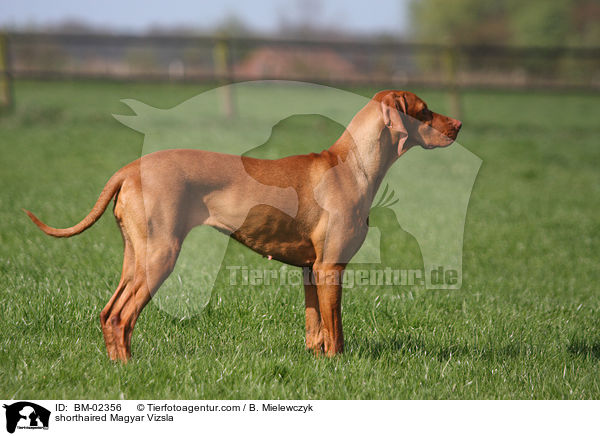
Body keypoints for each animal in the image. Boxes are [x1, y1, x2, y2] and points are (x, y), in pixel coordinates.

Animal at [25, 89, 462, 362]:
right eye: (424, 110)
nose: (458, 124)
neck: (352, 165)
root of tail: (129, 169)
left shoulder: (311, 270)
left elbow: (315, 330)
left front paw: (319, 365)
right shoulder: (330, 268)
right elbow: (335, 330)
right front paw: (340, 365)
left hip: (136, 256)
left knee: (108, 313)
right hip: (160, 256)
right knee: (121, 316)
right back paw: (129, 370)